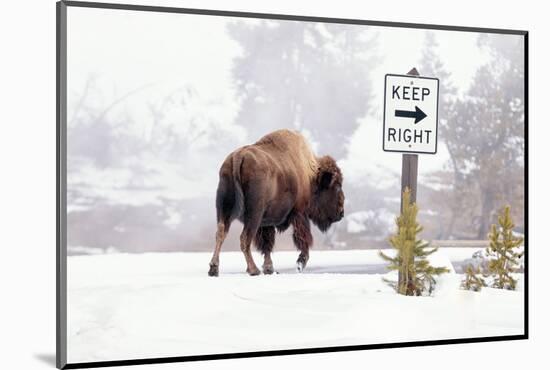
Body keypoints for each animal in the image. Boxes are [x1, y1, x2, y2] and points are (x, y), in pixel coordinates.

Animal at [208, 129, 344, 276]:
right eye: (336, 186)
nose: (341, 213)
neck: (310, 175)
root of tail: (238, 157)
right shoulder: (300, 213)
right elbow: (303, 238)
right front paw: (300, 263)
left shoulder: (267, 222)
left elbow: (267, 244)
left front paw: (269, 268)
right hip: (253, 215)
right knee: (244, 238)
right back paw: (253, 269)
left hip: (224, 209)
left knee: (221, 233)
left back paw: (214, 268)